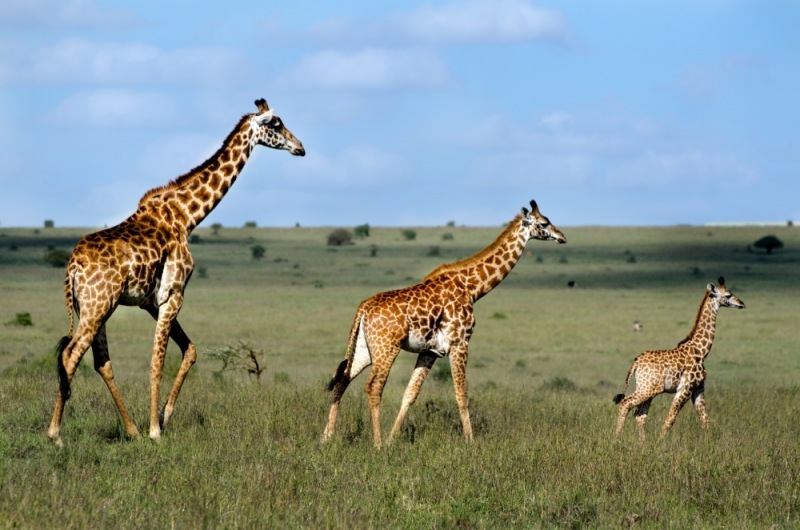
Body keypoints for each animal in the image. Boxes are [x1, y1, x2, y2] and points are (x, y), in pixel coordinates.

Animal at [47, 97, 304, 444]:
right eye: (276, 124)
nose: (300, 147)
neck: (187, 216)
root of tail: (73, 266)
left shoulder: (153, 301)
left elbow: (190, 350)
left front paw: (163, 417)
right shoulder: (174, 294)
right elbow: (157, 362)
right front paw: (156, 430)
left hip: (94, 307)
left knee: (101, 362)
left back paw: (131, 430)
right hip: (97, 306)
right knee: (71, 355)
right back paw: (56, 434)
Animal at [322, 199, 564, 446]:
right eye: (544, 223)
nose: (562, 236)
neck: (472, 289)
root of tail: (363, 309)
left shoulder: (430, 351)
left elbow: (410, 394)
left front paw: (392, 440)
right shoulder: (460, 343)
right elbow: (462, 394)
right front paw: (470, 441)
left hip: (364, 349)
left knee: (342, 379)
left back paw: (327, 438)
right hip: (386, 347)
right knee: (373, 386)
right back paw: (376, 444)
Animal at [616, 276, 748, 438]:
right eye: (728, 295)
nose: (741, 303)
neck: (701, 351)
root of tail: (635, 364)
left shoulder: (698, 388)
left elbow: (705, 419)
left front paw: (712, 441)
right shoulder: (685, 388)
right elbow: (670, 419)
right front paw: (660, 441)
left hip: (648, 388)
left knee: (640, 414)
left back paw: (643, 442)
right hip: (648, 388)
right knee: (625, 404)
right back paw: (616, 439)